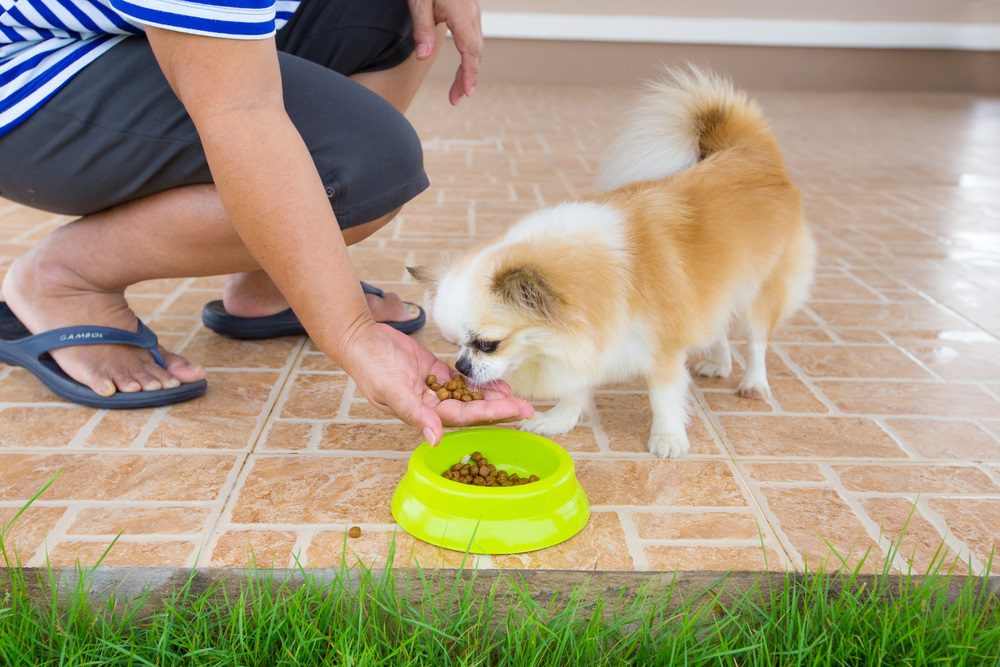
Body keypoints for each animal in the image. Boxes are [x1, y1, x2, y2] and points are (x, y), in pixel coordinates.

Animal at [410, 65, 816, 456]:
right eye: (454, 344)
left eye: (487, 345)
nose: (461, 366)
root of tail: (749, 149)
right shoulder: (591, 341)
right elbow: (576, 387)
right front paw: (559, 419)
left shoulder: (660, 347)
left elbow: (664, 395)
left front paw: (668, 437)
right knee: (717, 325)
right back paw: (719, 362)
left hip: (761, 290)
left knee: (757, 339)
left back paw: (754, 383)